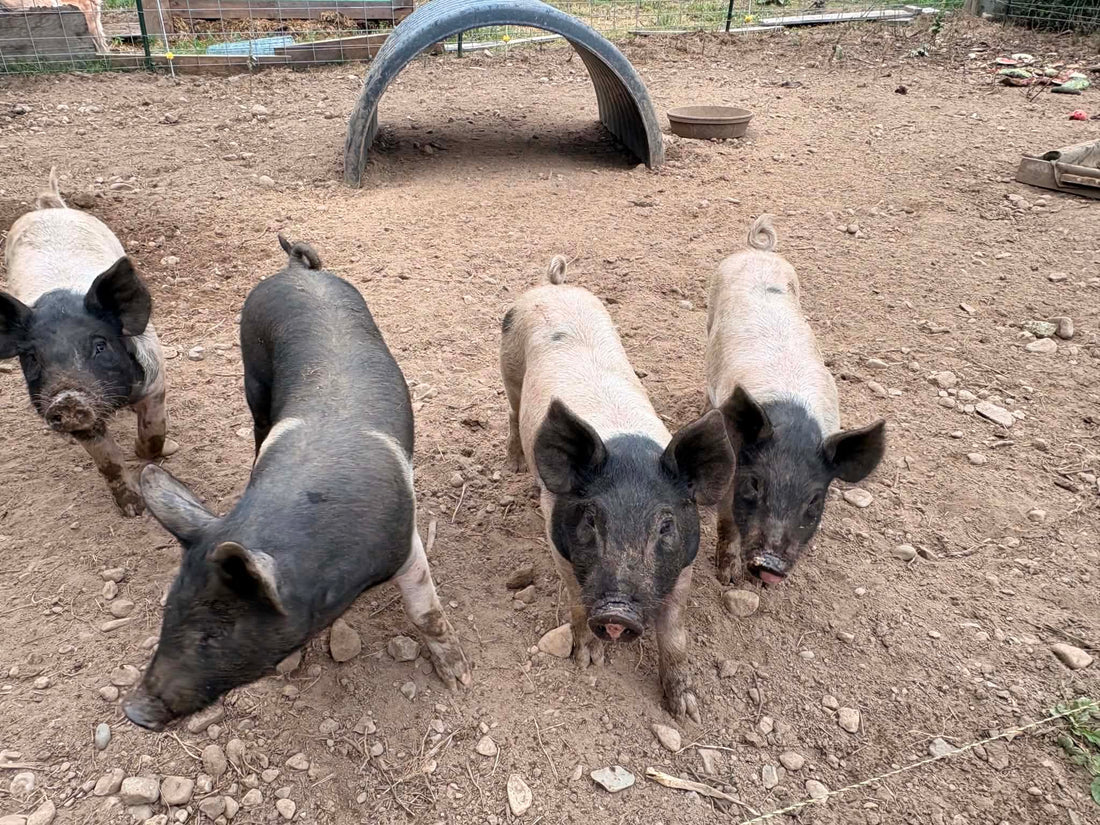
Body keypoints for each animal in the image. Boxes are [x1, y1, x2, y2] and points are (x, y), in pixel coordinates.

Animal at [0, 168, 174, 516]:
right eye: (31, 357)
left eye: (100, 345)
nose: (67, 398)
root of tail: (51, 208)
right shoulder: (85, 424)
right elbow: (108, 461)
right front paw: (134, 511)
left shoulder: (156, 381)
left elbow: (154, 430)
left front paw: (145, 454)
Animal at [122, 236, 471, 730]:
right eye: (167, 613)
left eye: (216, 634)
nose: (134, 711)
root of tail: (294, 270)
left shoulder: (406, 543)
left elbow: (426, 612)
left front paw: (460, 678)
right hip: (251, 367)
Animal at [500, 255, 735, 722]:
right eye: (591, 519)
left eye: (665, 525)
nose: (618, 612)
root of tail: (553, 287)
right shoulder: (558, 540)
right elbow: (576, 598)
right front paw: (589, 660)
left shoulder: (684, 562)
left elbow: (675, 632)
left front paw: (687, 711)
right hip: (508, 365)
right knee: (513, 410)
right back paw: (516, 463)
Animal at [705, 215, 886, 586]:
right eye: (755, 484)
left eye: (814, 501)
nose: (770, 565)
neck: (794, 427)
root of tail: (759, 252)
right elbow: (727, 520)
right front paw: (728, 577)